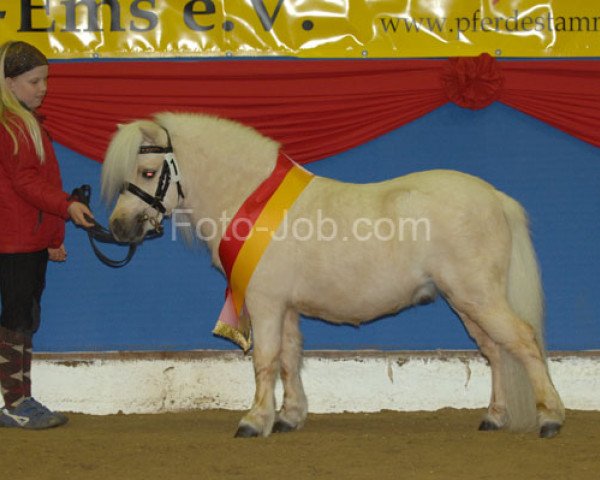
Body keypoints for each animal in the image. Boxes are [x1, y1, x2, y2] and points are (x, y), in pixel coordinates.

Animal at [101, 111, 564, 438]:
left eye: (147, 173)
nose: (120, 227)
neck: (252, 197)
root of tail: (495, 197)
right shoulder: (286, 308)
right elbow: (289, 358)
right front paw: (289, 418)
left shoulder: (265, 304)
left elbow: (265, 359)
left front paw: (254, 421)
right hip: (468, 301)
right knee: (495, 351)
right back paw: (495, 417)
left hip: (478, 297)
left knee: (523, 342)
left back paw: (550, 418)